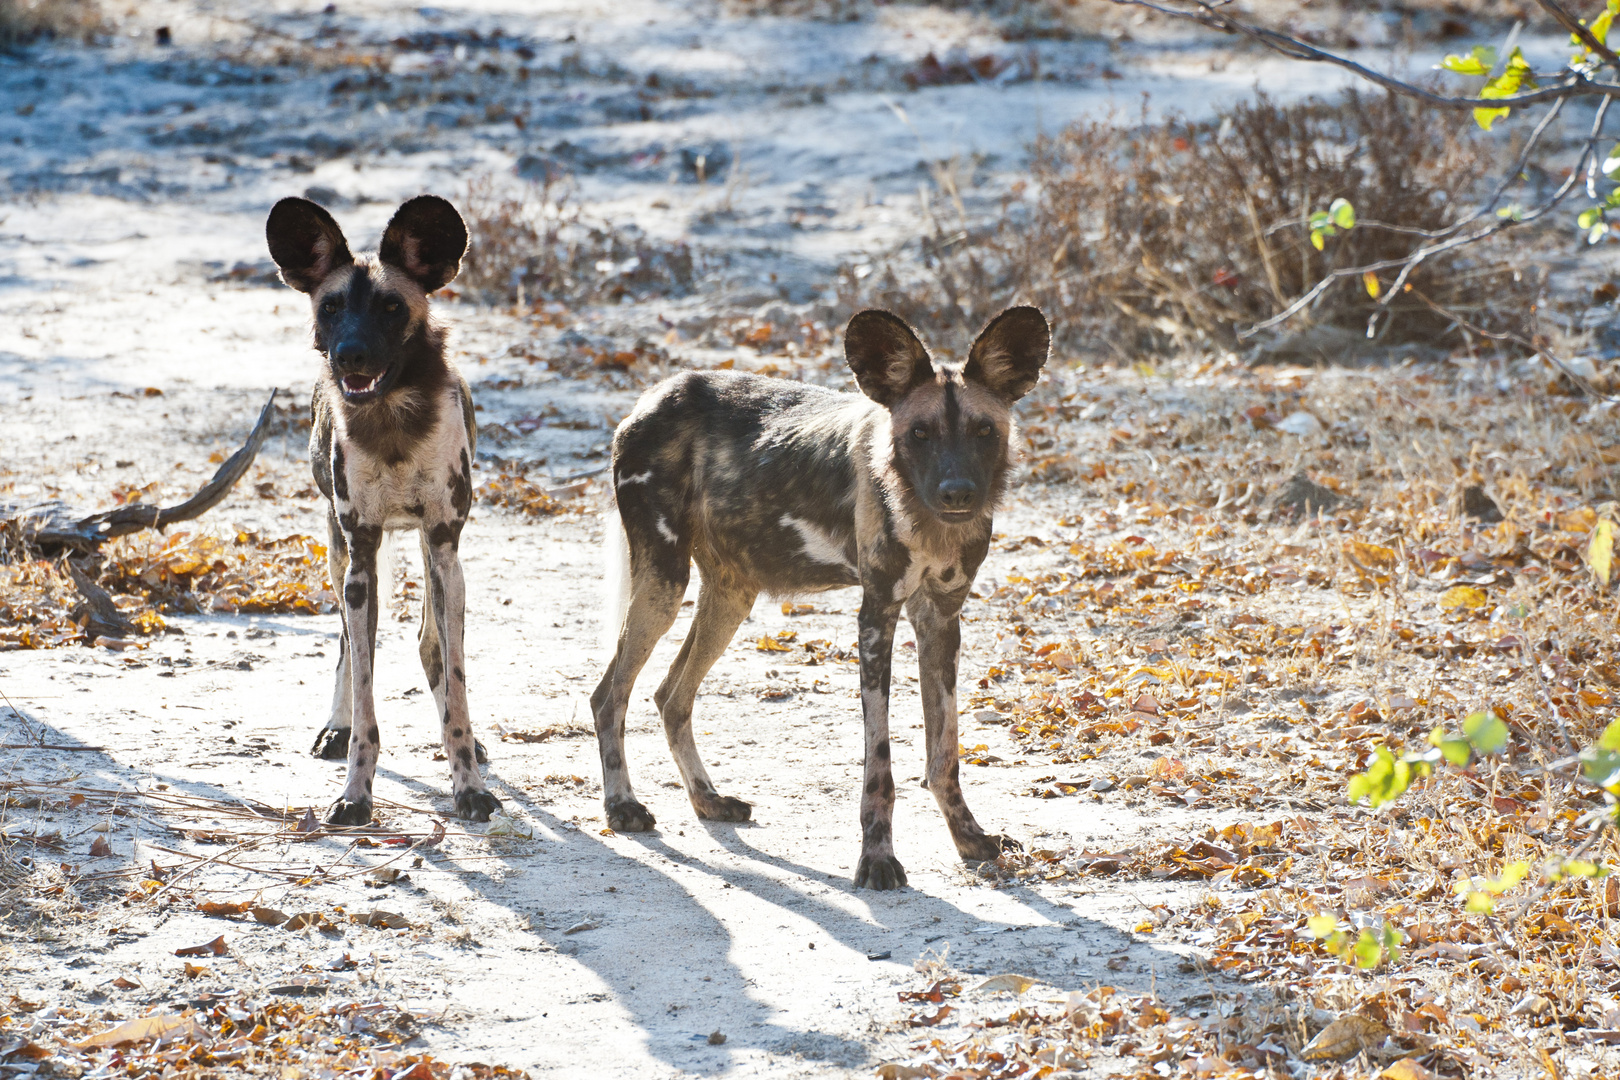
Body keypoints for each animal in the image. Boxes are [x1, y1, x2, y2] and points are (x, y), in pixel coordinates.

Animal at [265, 194, 498, 822]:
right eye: (331, 307)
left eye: (392, 308)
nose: (351, 354)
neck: (392, 421)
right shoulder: (361, 556)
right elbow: (366, 687)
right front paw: (355, 794)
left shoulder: (443, 547)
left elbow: (456, 681)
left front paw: (468, 786)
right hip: (340, 556)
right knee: (349, 645)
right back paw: (336, 727)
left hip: (436, 561)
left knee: (432, 648)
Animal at [596, 304, 1049, 887]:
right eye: (920, 433)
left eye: (983, 430)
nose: (956, 494)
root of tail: (652, 396)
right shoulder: (877, 616)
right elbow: (880, 765)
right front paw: (877, 860)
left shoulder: (941, 619)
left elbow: (943, 753)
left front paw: (969, 839)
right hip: (664, 585)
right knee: (610, 696)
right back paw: (622, 806)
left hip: (730, 596)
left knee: (670, 696)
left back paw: (708, 801)